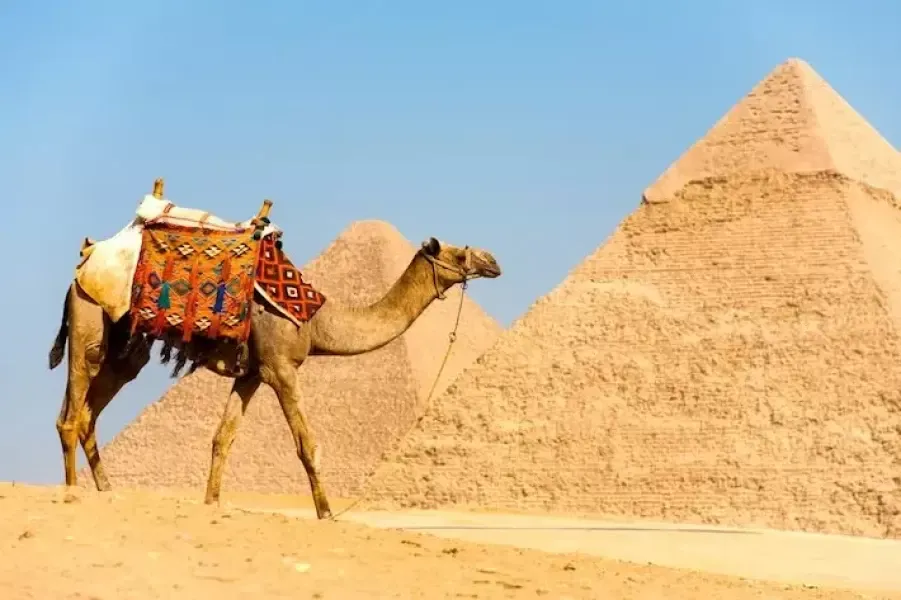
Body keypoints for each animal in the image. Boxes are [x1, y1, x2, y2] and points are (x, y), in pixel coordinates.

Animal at [48, 235, 501, 519]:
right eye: (458, 253)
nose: (493, 261)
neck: (317, 321)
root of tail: (79, 271)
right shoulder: (281, 368)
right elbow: (307, 445)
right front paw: (326, 512)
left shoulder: (251, 372)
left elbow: (222, 438)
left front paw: (211, 503)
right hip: (89, 325)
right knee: (71, 416)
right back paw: (72, 491)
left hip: (126, 351)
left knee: (87, 414)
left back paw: (106, 489)